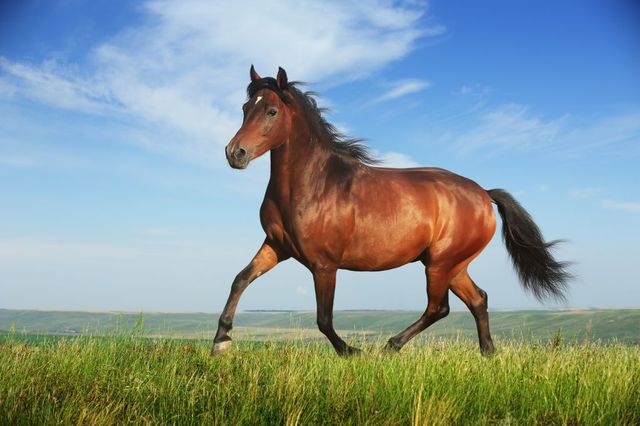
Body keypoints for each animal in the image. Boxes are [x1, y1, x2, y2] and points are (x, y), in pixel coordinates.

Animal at [212, 66, 571, 356]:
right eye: (245, 108)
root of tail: (484, 194)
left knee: (439, 308)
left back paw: (391, 346)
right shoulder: (276, 246)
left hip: (440, 263)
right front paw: (221, 342)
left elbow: (324, 318)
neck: (313, 184)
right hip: (453, 265)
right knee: (477, 299)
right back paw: (487, 354)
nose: (234, 153)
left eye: (271, 111)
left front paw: (351, 352)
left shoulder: (324, 265)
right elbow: (239, 280)